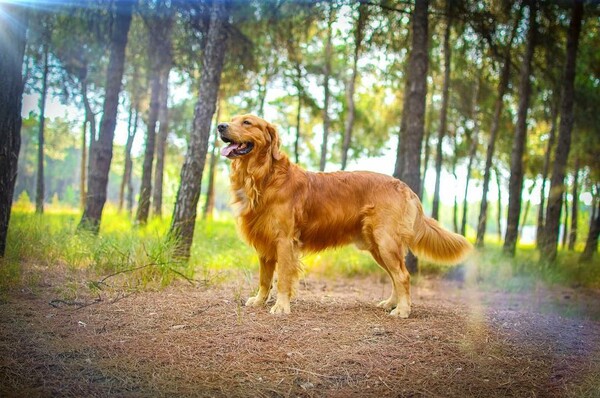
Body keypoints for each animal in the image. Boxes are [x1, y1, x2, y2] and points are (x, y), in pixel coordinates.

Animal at [218, 114, 472, 318]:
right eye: (232, 118)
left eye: (247, 122)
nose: (220, 126)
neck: (265, 177)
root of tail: (405, 186)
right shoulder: (265, 243)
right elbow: (264, 279)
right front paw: (259, 301)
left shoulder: (284, 241)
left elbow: (282, 278)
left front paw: (281, 306)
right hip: (378, 247)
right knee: (394, 276)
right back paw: (391, 303)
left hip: (386, 242)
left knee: (402, 276)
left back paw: (402, 310)